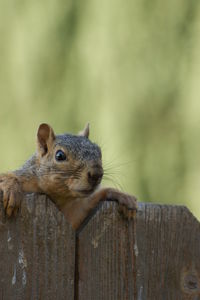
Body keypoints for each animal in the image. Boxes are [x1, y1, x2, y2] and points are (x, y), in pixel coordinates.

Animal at [0, 123, 138, 229]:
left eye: (99, 151)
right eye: (59, 155)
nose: (96, 173)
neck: (60, 198)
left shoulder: (75, 212)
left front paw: (121, 195)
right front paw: (12, 188)